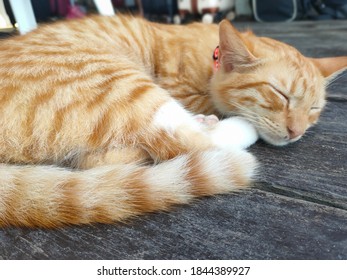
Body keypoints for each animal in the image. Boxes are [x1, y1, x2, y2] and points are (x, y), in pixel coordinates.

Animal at [0, 15, 346, 228]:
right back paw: (234, 128)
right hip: (119, 83)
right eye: (280, 95)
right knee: (185, 141)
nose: (295, 132)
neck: (209, 57)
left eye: (314, 108)